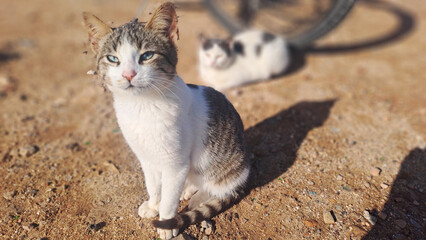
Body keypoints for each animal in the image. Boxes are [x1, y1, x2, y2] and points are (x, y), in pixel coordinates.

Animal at [82, 2, 250, 240]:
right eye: (113, 59)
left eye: (147, 56)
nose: (128, 75)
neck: (142, 107)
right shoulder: (146, 158)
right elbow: (153, 186)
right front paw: (154, 205)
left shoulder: (175, 165)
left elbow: (169, 198)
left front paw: (167, 222)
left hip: (222, 169)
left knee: (215, 187)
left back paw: (198, 196)